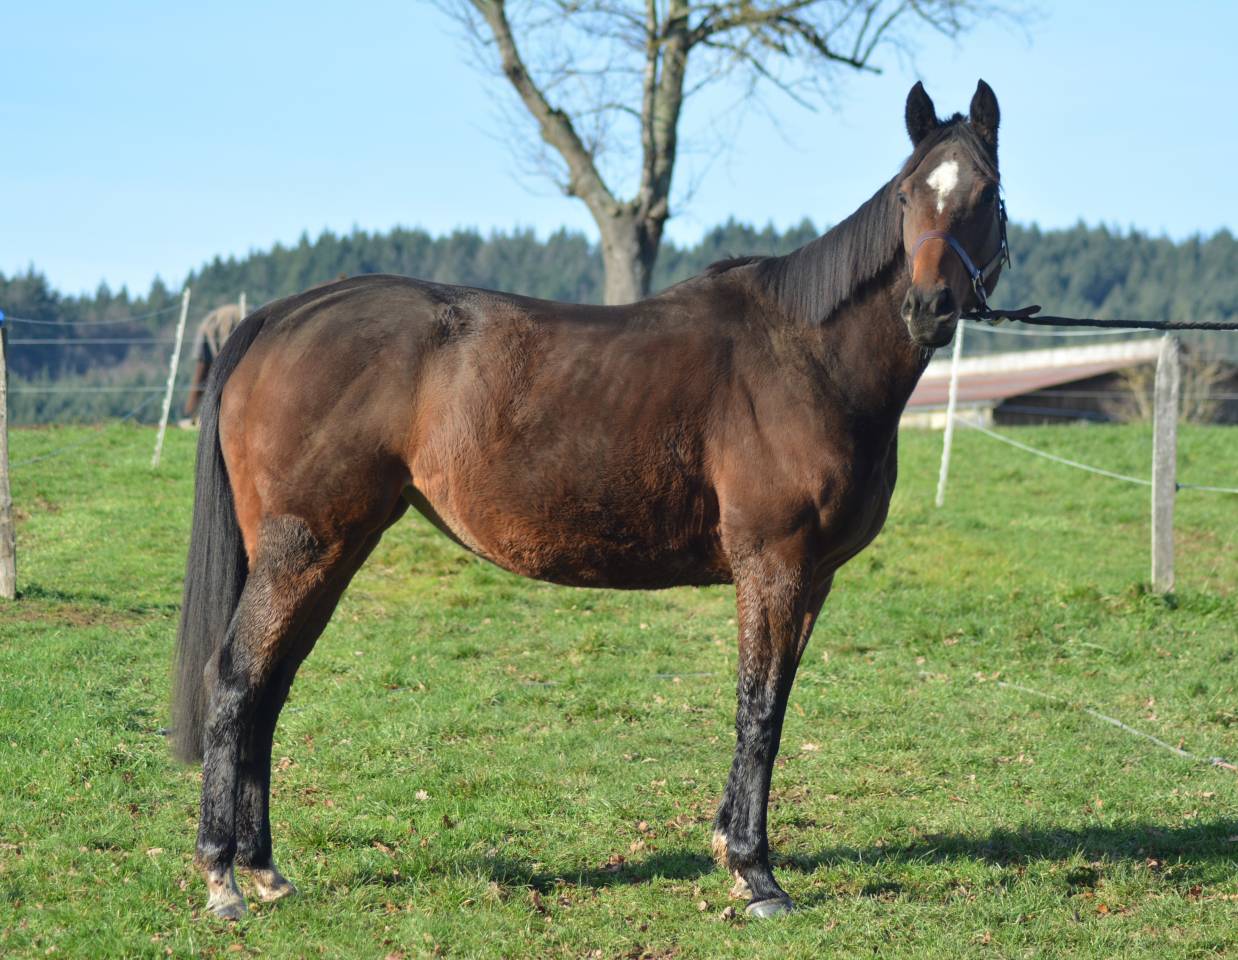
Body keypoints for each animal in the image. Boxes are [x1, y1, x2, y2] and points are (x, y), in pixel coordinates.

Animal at [173, 79, 1007, 920]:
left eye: (984, 192)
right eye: (906, 195)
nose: (929, 305)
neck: (805, 353)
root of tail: (281, 316)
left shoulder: (814, 577)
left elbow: (772, 706)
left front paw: (728, 848)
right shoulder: (774, 565)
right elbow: (759, 707)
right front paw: (756, 873)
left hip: (332, 550)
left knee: (271, 688)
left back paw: (265, 868)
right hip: (304, 548)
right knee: (237, 680)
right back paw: (222, 877)